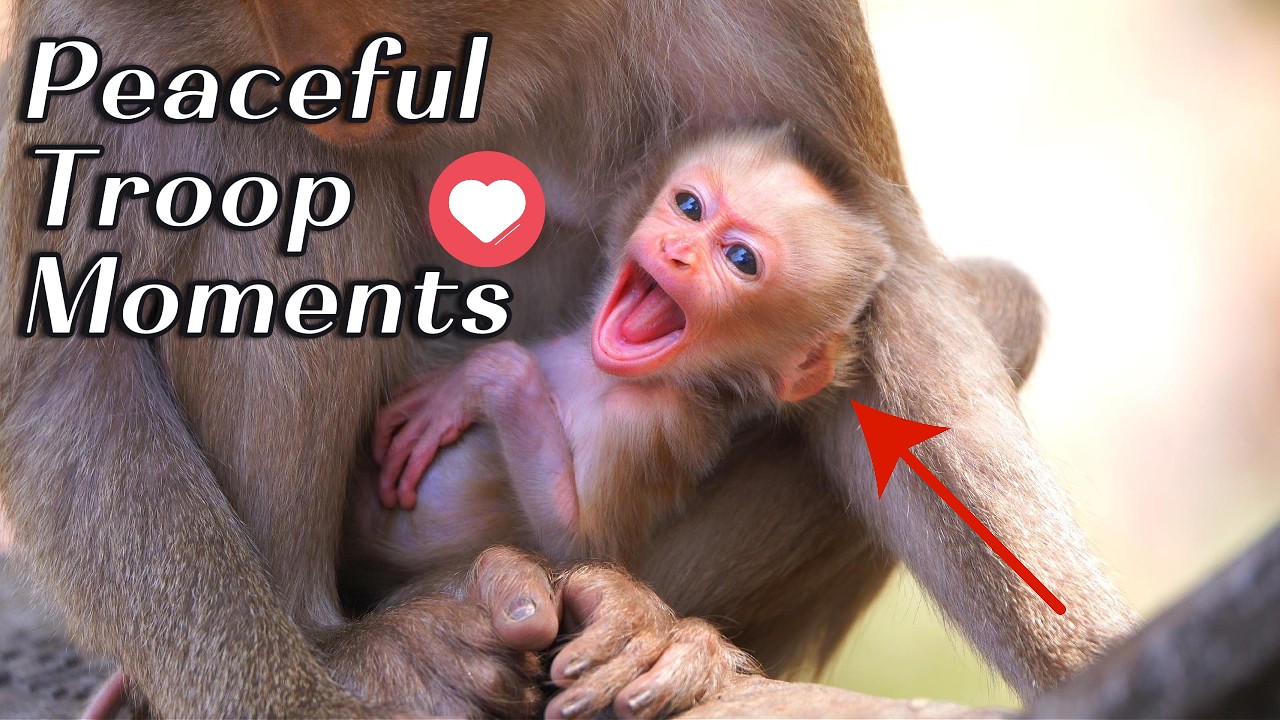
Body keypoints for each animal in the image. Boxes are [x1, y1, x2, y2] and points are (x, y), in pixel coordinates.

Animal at [0, 1, 1136, 717]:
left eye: (738, 254)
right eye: (688, 209)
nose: (676, 249)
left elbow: (887, 276)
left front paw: (1084, 657)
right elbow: (61, 357)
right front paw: (303, 699)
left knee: (1000, 310)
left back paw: (645, 628)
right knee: (281, 158)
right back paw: (341, 644)